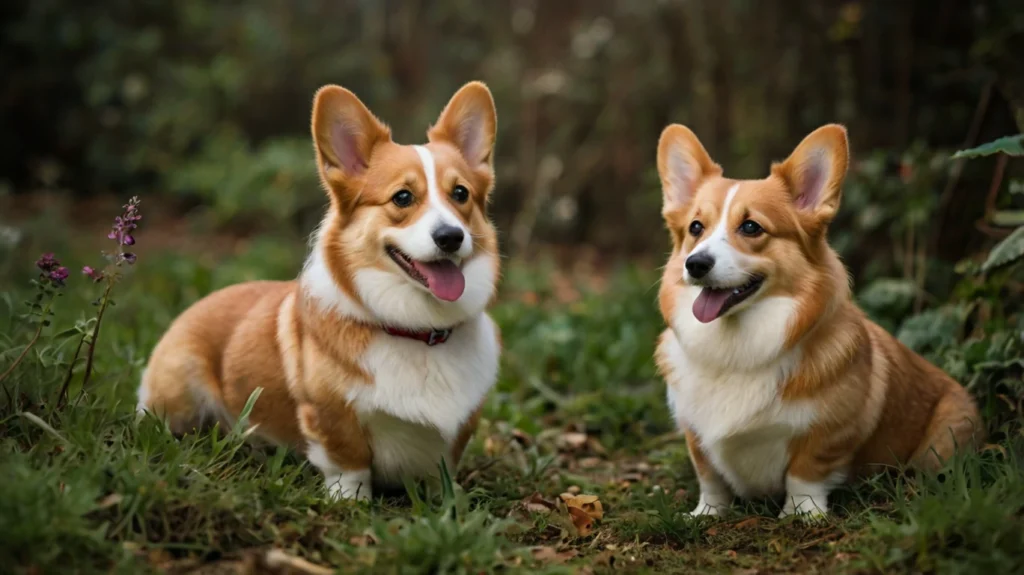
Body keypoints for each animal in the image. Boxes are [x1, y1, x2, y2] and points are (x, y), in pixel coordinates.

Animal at [138, 82, 501, 499]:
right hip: (181, 385)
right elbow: (349, 462)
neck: (417, 331)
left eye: (460, 194)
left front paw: (447, 499)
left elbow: (441, 467)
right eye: (403, 197)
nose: (451, 237)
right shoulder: (330, 415)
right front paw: (351, 501)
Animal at [655, 123, 983, 517]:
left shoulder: (828, 432)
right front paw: (707, 514)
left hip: (947, 433)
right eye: (695, 228)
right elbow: (710, 477)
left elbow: (805, 472)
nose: (696, 264)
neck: (735, 347)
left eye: (750, 227)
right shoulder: (695, 433)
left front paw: (801, 514)